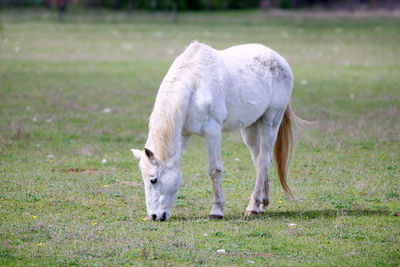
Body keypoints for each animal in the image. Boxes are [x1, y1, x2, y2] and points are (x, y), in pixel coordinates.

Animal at [133, 42, 302, 222]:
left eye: (153, 180)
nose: (154, 216)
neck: (195, 86)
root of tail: (280, 60)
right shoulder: (182, 134)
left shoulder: (212, 132)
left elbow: (214, 170)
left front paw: (216, 210)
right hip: (250, 127)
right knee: (260, 160)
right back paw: (262, 204)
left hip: (271, 121)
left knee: (263, 161)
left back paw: (253, 207)